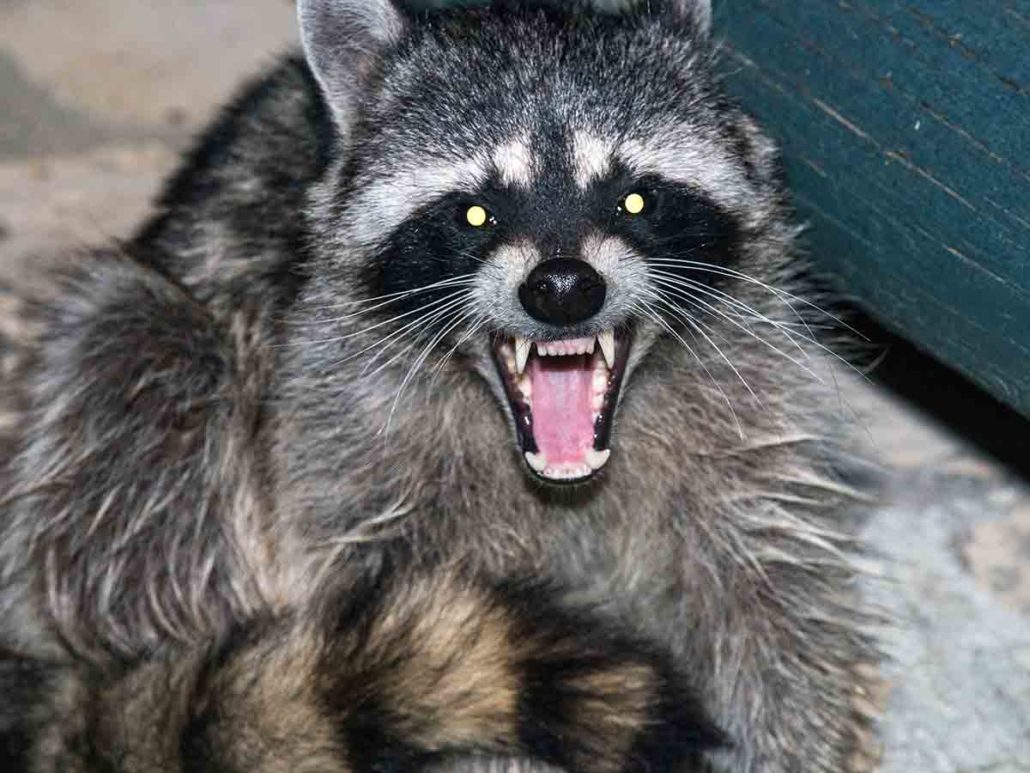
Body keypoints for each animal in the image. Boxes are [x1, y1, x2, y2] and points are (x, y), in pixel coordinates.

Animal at [0, 1, 878, 771]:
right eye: (476, 214)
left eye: (635, 196)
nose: (564, 287)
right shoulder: (347, 454)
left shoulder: (748, 414)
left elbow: (772, 599)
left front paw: (793, 738)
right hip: (148, 365)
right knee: (134, 358)